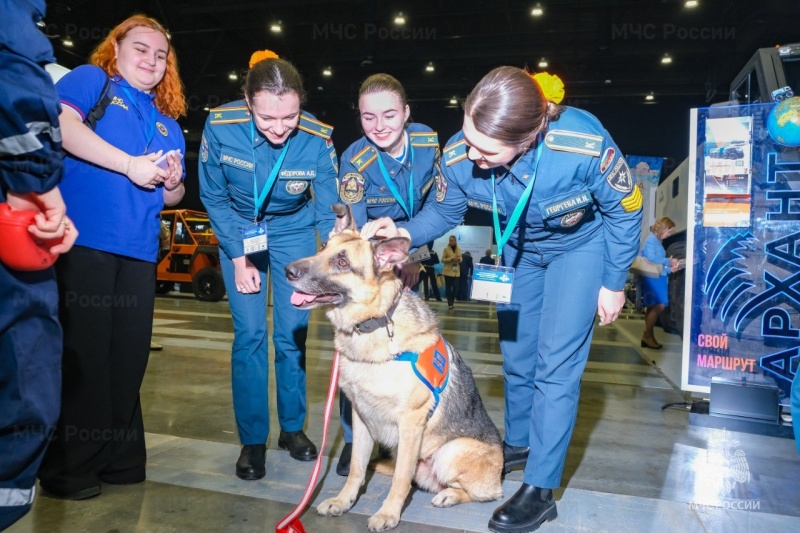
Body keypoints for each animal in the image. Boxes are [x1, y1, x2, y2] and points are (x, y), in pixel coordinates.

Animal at [286, 203, 500, 528]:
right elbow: (357, 469)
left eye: (342, 262)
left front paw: (388, 513)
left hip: (451, 451)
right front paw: (344, 501)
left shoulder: (410, 424)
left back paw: (450, 495)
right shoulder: (361, 418)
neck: (374, 323)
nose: (288, 271)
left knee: (478, 492)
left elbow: (400, 479)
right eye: (323, 248)